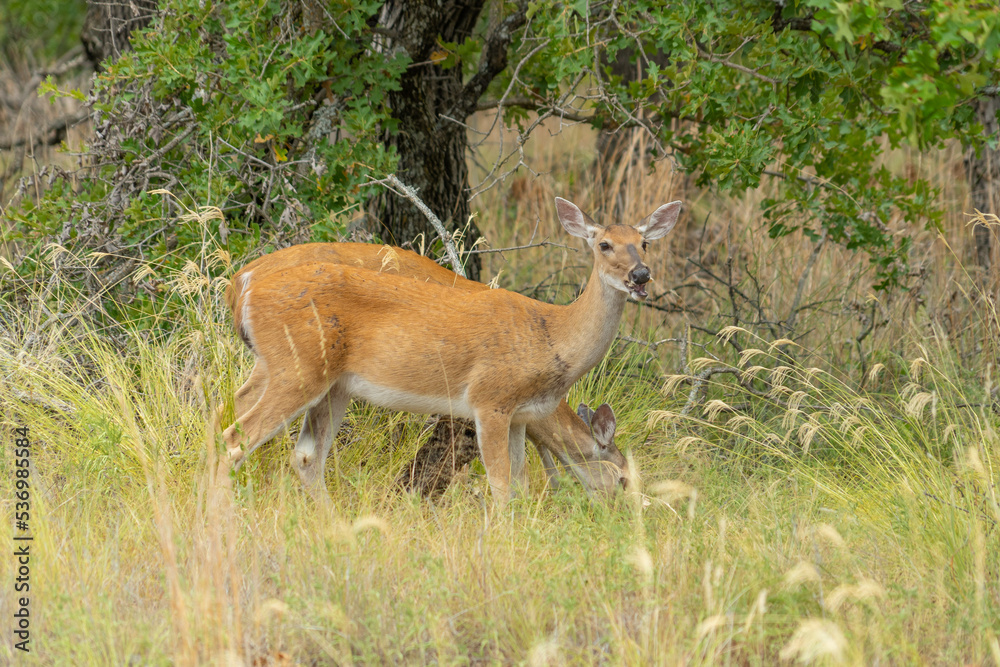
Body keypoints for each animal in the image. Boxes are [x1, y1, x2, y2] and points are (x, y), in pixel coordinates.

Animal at [224, 197, 684, 500]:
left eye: (645, 242)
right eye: (604, 244)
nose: (641, 275)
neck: (552, 336)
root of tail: (241, 285)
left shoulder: (520, 416)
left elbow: (520, 481)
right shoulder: (489, 399)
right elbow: (500, 484)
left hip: (320, 381)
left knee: (300, 452)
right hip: (297, 368)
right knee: (236, 436)